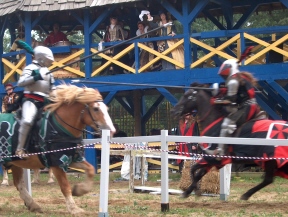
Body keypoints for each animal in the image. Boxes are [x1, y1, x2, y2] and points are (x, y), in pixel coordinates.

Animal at [0, 84, 115, 214]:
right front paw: (74, 208)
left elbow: (90, 169)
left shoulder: (71, 158)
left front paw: (79, 190)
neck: (59, 128)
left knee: (19, 184)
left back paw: (33, 205)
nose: (112, 131)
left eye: (106, 108)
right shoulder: (56, 163)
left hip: (15, 162)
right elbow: (65, 186)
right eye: (95, 109)